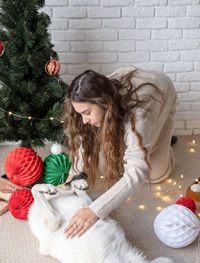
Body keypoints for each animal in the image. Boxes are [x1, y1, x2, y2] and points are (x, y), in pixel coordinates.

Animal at [27, 173, 173, 263]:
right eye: (67, 178)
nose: (84, 173)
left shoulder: (88, 208)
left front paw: (80, 184)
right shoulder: (54, 221)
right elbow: (34, 189)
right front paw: (45, 187)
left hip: (164, 260)